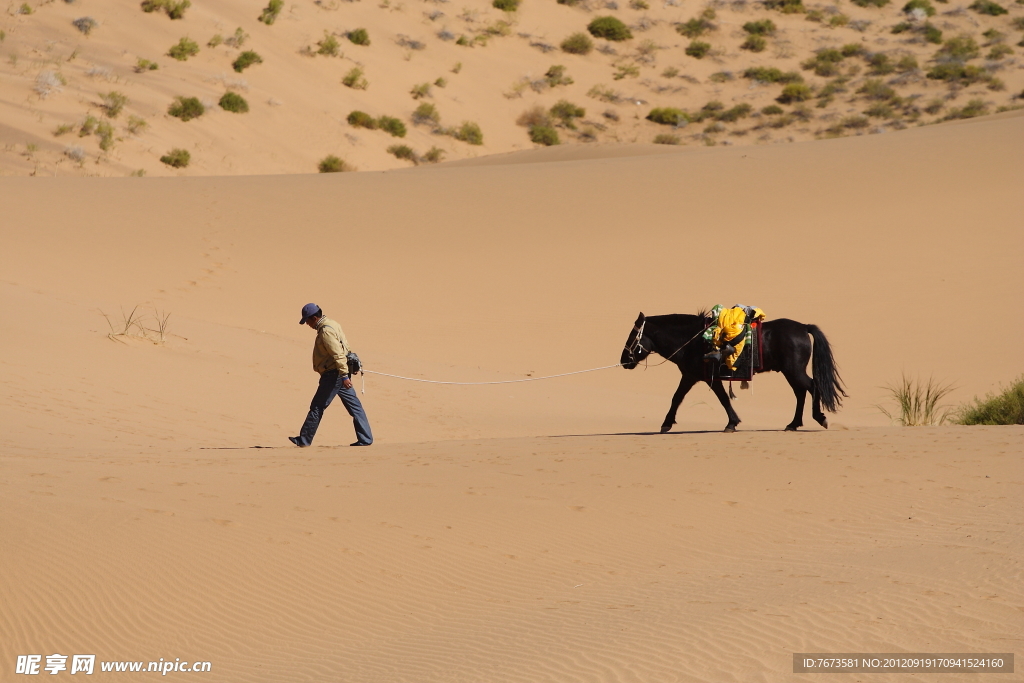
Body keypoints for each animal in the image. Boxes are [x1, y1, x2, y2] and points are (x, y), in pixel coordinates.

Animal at [622, 311, 847, 432]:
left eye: (632, 337)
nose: (623, 361)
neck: (692, 340)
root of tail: (803, 327)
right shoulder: (693, 376)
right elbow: (680, 397)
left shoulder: (703, 377)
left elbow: (717, 398)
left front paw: (732, 423)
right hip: (789, 371)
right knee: (801, 392)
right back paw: (793, 423)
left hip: (794, 370)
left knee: (812, 387)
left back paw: (819, 418)